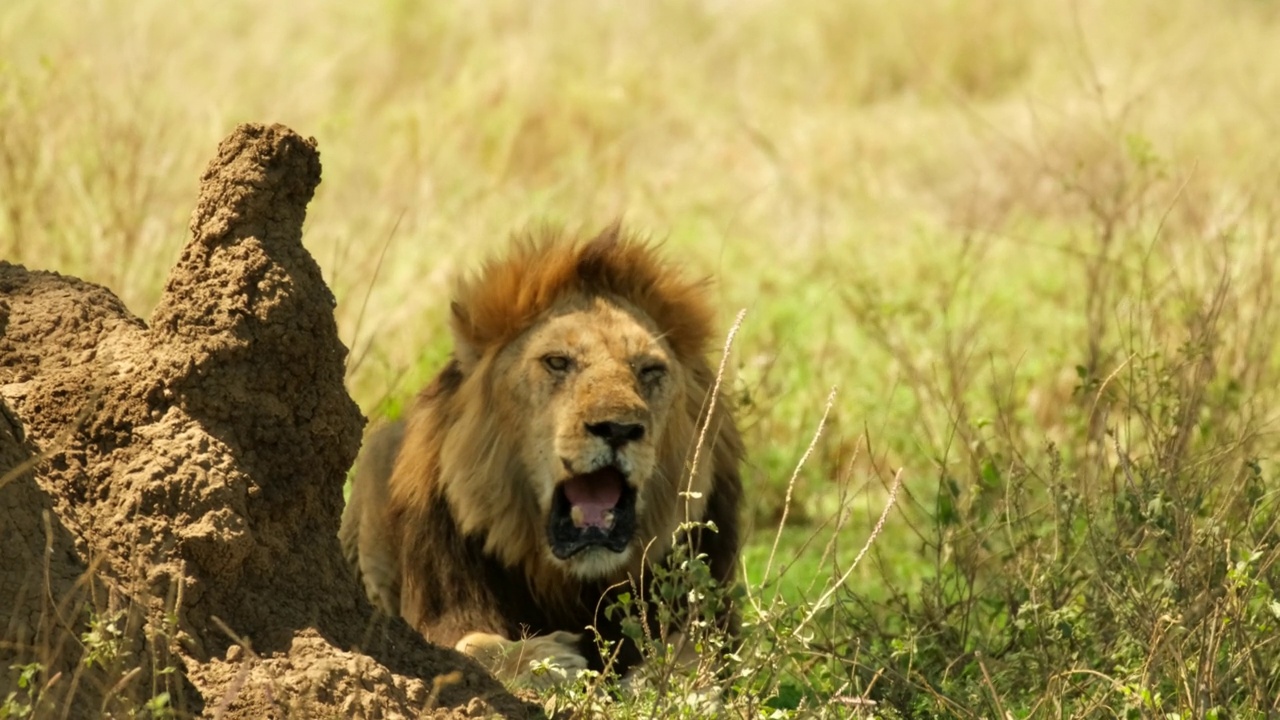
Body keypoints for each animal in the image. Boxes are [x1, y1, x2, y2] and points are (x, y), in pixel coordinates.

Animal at [340, 221, 747, 681]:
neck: (572, 585)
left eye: (649, 370)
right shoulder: (440, 610)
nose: (618, 428)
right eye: (557, 362)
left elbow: (697, 653)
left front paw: (653, 677)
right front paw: (546, 661)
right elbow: (472, 646)